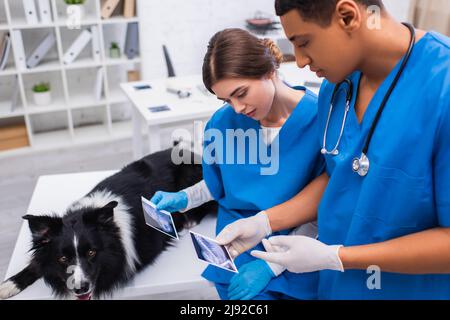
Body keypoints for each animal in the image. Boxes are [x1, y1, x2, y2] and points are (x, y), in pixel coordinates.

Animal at [0, 148, 218, 300]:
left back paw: (189, 221)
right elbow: (35, 264)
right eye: (62, 258)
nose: (80, 288)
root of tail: (195, 154)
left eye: (91, 252)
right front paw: (8, 285)